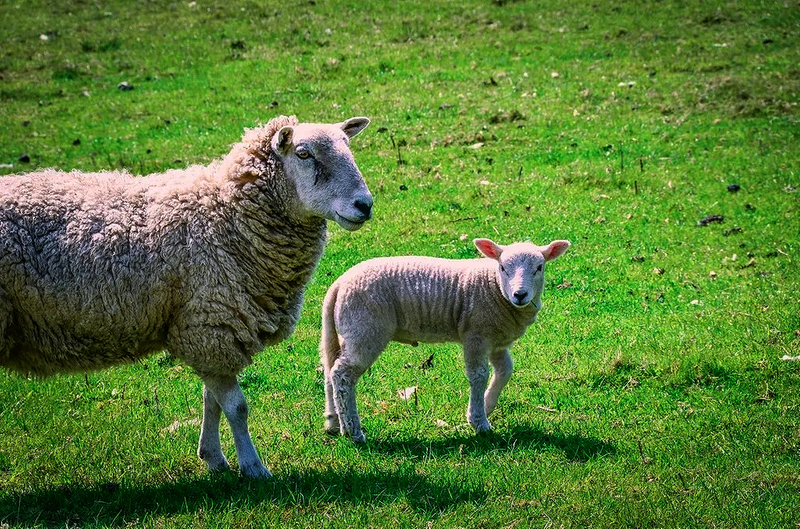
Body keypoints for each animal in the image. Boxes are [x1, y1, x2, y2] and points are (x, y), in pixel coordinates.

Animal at [0, 113, 376, 476]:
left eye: (348, 147)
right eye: (303, 154)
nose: (364, 205)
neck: (225, 215)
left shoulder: (210, 329)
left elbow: (212, 402)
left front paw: (214, 459)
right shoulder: (212, 323)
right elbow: (237, 407)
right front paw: (253, 467)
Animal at [318, 236, 568, 442]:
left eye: (539, 267)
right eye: (503, 267)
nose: (520, 295)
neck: (494, 287)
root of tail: (339, 284)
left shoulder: (497, 340)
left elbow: (505, 371)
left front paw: (488, 405)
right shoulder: (476, 334)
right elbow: (479, 375)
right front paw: (478, 422)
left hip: (347, 331)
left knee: (330, 370)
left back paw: (333, 423)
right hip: (365, 328)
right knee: (343, 375)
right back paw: (353, 431)